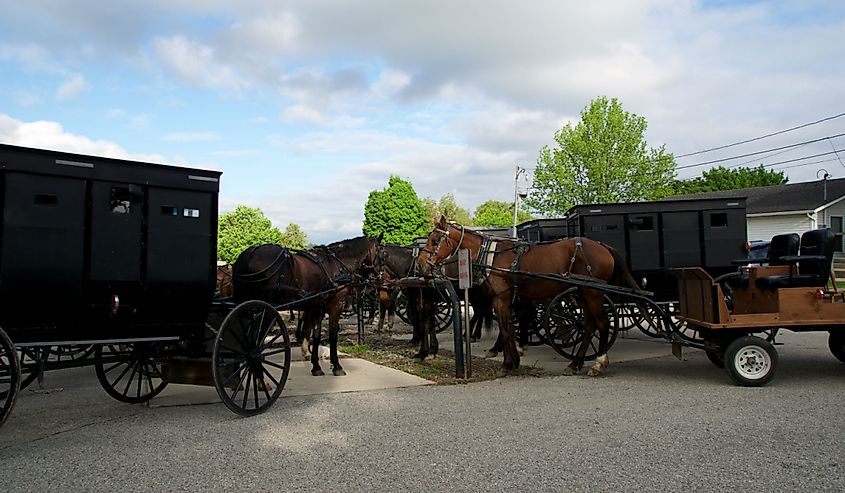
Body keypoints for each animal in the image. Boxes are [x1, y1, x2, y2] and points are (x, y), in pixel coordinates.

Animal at [229, 236, 378, 374]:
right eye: (381, 252)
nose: (377, 279)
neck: (337, 266)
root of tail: (251, 253)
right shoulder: (335, 305)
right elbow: (331, 334)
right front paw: (335, 365)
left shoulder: (315, 306)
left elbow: (313, 332)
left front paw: (314, 362)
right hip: (264, 309)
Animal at [416, 217, 640, 374]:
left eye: (434, 239)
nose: (421, 264)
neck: (491, 255)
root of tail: (603, 245)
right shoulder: (508, 300)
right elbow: (509, 328)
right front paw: (513, 360)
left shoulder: (501, 299)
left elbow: (506, 329)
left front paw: (508, 363)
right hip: (583, 292)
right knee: (589, 326)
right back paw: (575, 363)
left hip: (593, 292)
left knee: (602, 324)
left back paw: (598, 363)